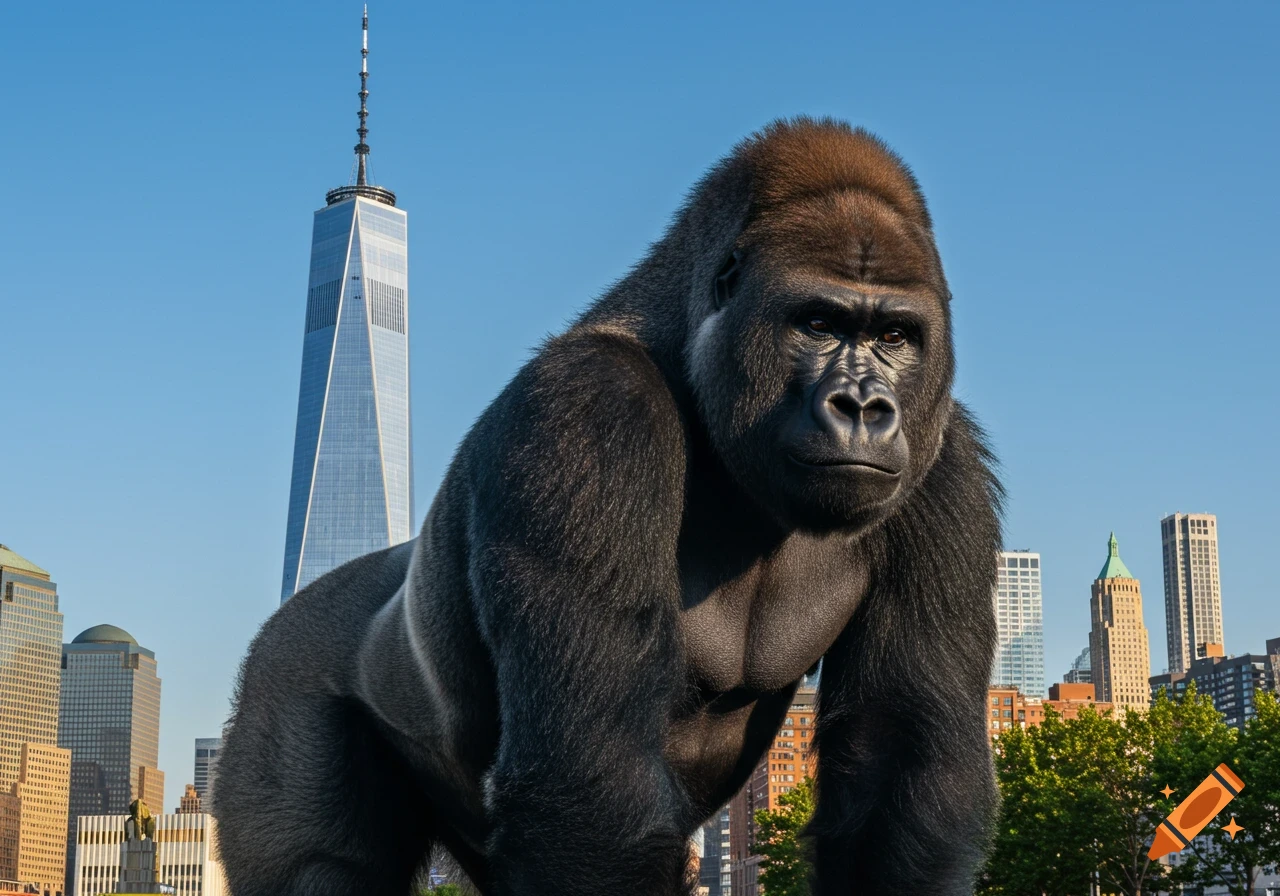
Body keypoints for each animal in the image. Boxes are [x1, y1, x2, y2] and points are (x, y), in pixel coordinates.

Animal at [214, 117, 1003, 896]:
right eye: (817, 323)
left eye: (894, 336)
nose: (864, 408)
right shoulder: (587, 414)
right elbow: (593, 789)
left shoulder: (946, 465)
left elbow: (894, 774)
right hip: (280, 683)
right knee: (322, 867)